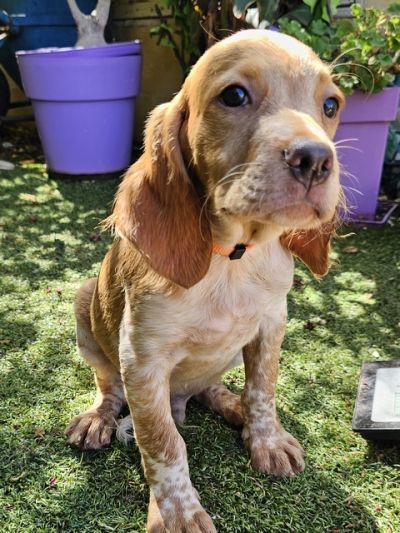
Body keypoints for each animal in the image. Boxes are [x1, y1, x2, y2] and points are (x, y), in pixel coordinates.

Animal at [66, 29, 344, 532]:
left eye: (330, 104)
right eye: (234, 96)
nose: (316, 159)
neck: (231, 259)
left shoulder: (272, 325)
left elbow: (263, 388)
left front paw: (266, 439)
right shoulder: (142, 360)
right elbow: (161, 442)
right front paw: (177, 512)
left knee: (211, 387)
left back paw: (231, 405)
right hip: (86, 308)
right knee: (109, 388)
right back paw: (98, 419)